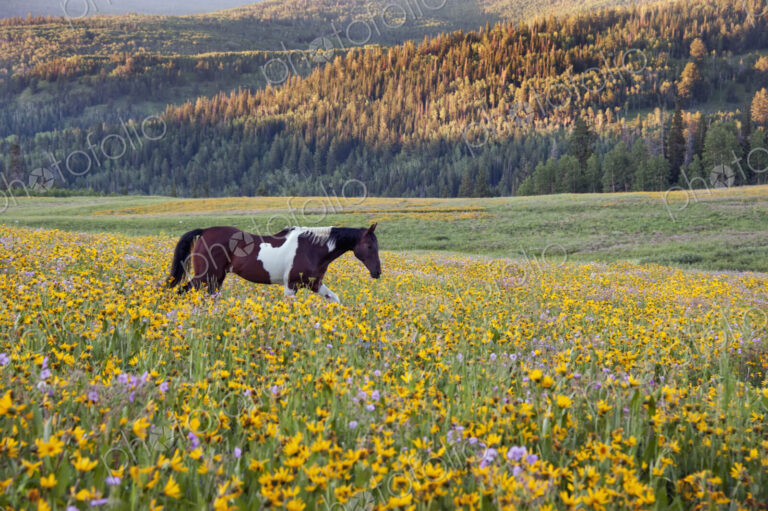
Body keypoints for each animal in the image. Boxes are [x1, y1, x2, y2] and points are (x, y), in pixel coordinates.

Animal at [165, 224, 380, 303]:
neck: (312, 248)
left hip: (215, 279)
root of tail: (205, 231)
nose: (377, 272)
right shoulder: (291, 285)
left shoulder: (314, 284)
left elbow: (334, 298)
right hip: (205, 276)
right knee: (181, 291)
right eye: (370, 246)